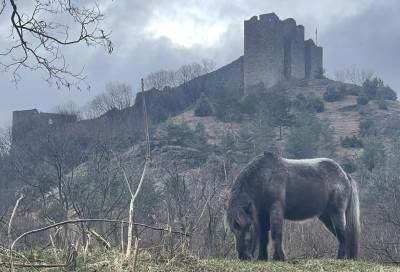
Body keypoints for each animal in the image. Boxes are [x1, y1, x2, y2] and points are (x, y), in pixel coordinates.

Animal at [227, 152, 360, 260]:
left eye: (248, 227)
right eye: (233, 230)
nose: (243, 256)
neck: (265, 177)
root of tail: (344, 175)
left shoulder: (275, 210)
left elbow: (276, 233)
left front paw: (279, 257)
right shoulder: (261, 215)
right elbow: (264, 236)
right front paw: (262, 258)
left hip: (336, 213)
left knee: (343, 234)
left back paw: (341, 258)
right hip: (326, 216)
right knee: (339, 235)